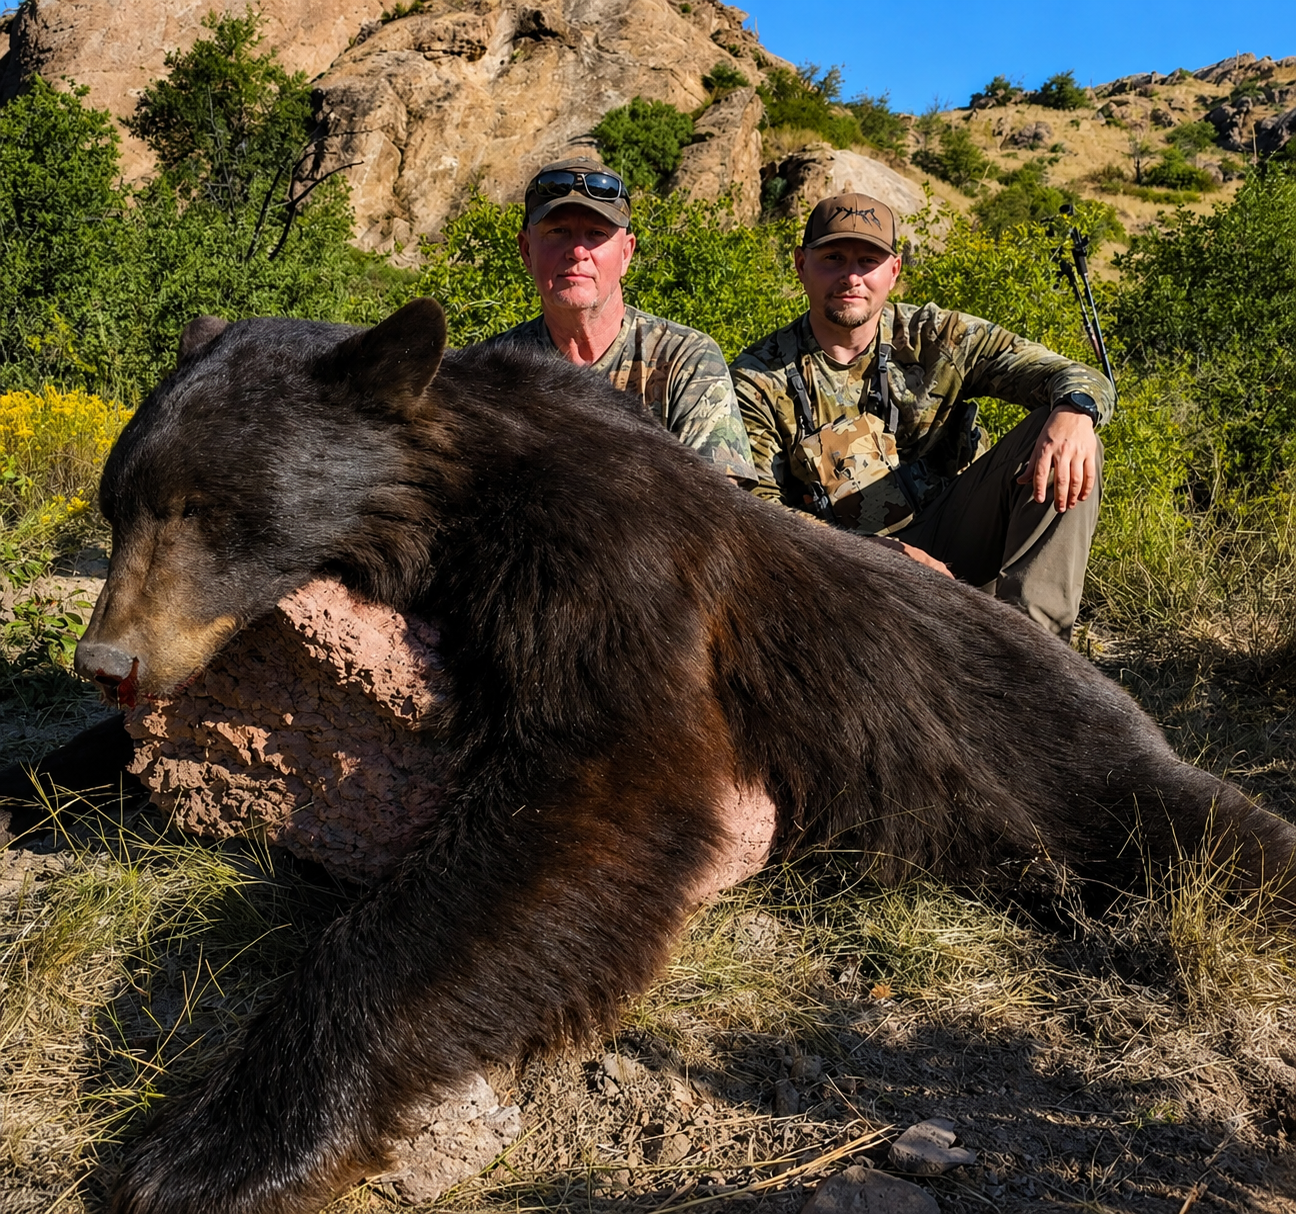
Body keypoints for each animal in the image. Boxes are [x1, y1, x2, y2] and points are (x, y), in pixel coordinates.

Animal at [70, 298, 1295, 1214]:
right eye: (117, 500)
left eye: (203, 508)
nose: (106, 656)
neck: (474, 484)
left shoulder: (619, 560)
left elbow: (610, 789)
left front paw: (213, 1155)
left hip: (1071, 755)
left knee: (1211, 830)